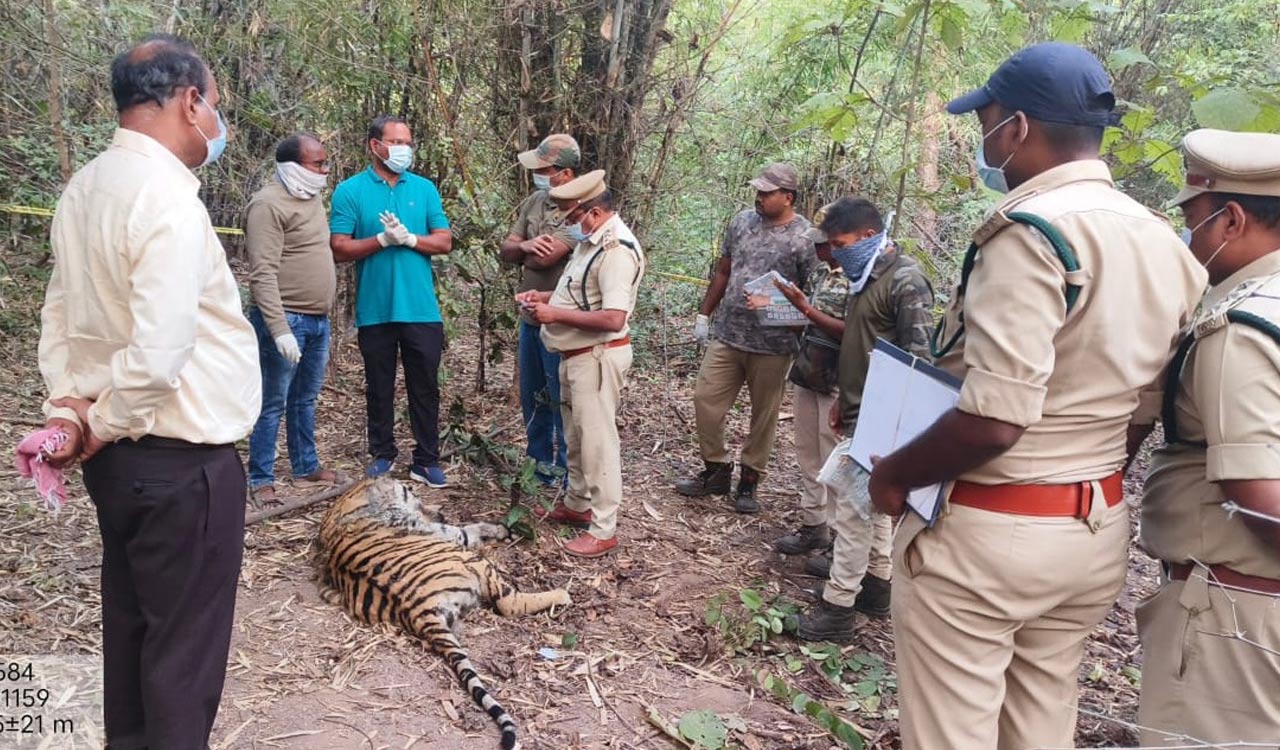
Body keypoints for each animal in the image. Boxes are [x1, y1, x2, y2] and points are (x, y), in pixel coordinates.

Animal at [316, 476, 570, 742]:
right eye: (410, 493)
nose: (440, 514)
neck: (351, 501)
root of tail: (417, 608)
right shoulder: (442, 532)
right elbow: (469, 529)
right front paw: (501, 530)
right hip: (475, 562)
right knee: (509, 604)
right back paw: (562, 594)